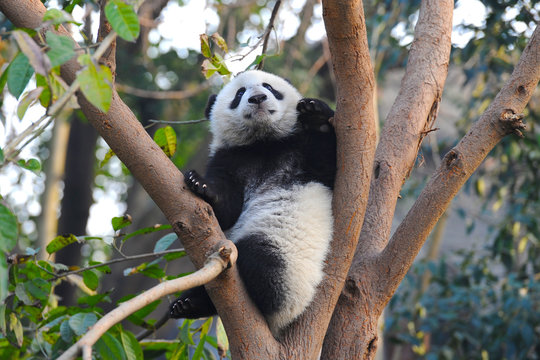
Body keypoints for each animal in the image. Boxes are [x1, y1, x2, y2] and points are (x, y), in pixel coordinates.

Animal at [171, 70, 336, 338]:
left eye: (269, 87)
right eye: (239, 94)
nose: (258, 98)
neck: (263, 143)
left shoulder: (301, 148)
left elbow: (330, 166)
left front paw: (317, 116)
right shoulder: (230, 158)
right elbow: (226, 209)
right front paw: (200, 184)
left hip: (288, 262)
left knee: (261, 260)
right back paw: (187, 303)